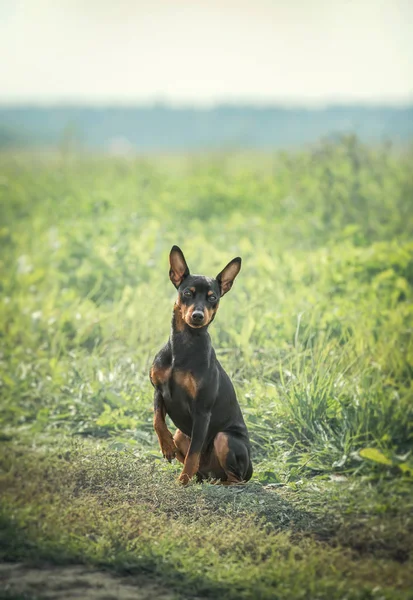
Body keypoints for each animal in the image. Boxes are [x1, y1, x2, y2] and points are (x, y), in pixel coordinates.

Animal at [148, 246, 251, 486]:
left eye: (213, 297)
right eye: (187, 293)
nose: (197, 316)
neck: (184, 345)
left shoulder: (202, 411)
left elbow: (193, 454)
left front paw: (182, 482)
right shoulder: (158, 390)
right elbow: (157, 420)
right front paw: (166, 446)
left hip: (225, 438)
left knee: (236, 479)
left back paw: (217, 483)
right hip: (181, 434)